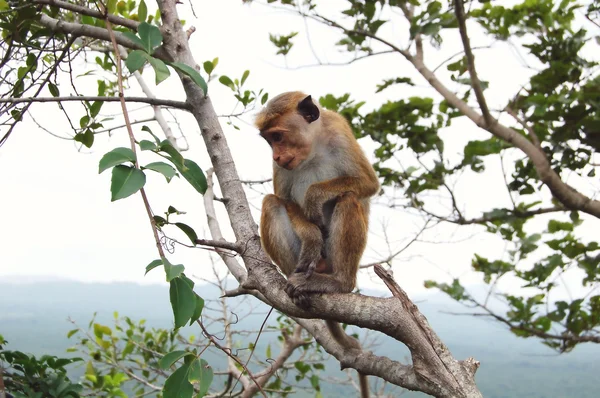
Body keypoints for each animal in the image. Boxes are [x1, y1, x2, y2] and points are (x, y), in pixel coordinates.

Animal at [254, 91, 378, 398]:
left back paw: (339, 283)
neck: (313, 146)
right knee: (271, 203)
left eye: (277, 136)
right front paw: (311, 236)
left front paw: (314, 196)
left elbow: (368, 183)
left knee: (348, 198)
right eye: (269, 141)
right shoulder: (281, 169)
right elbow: (284, 200)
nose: (275, 155)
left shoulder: (340, 133)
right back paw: (299, 285)